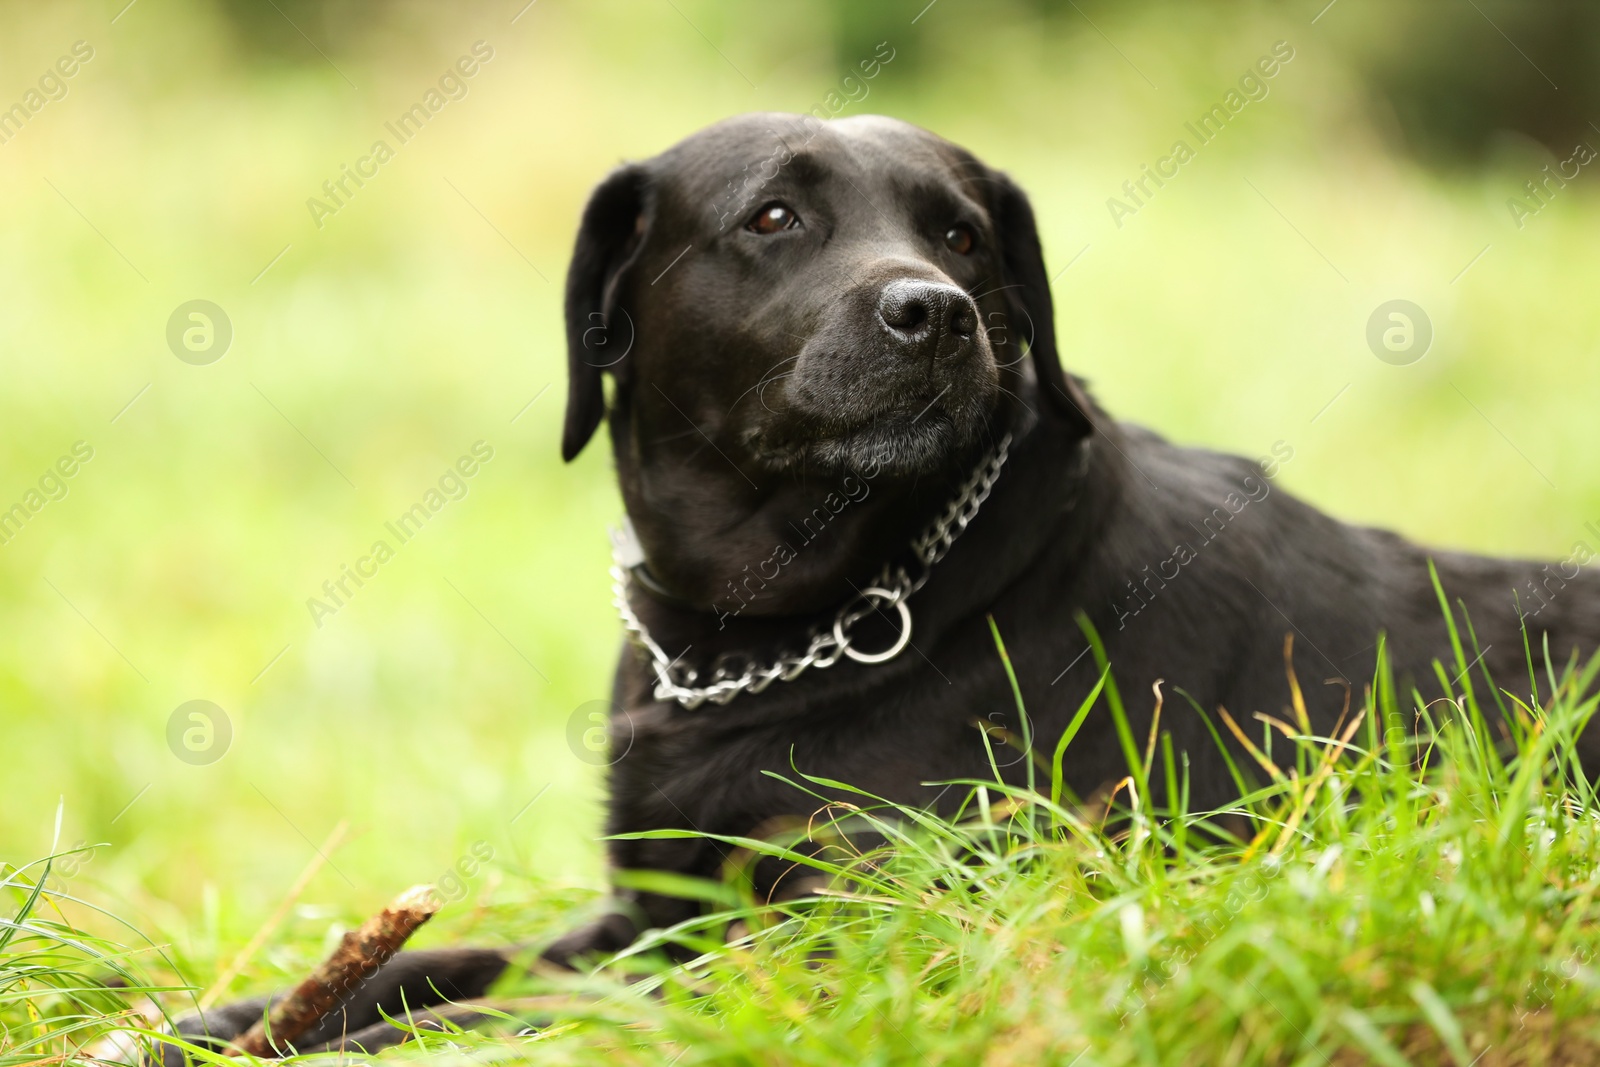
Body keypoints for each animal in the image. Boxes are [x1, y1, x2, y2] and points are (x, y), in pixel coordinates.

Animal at [172, 112, 1600, 1055]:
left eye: (961, 234)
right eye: (772, 217)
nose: (935, 311)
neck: (757, 634)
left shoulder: (832, 934)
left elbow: (500, 1008)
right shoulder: (656, 906)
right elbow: (450, 957)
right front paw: (233, 1011)